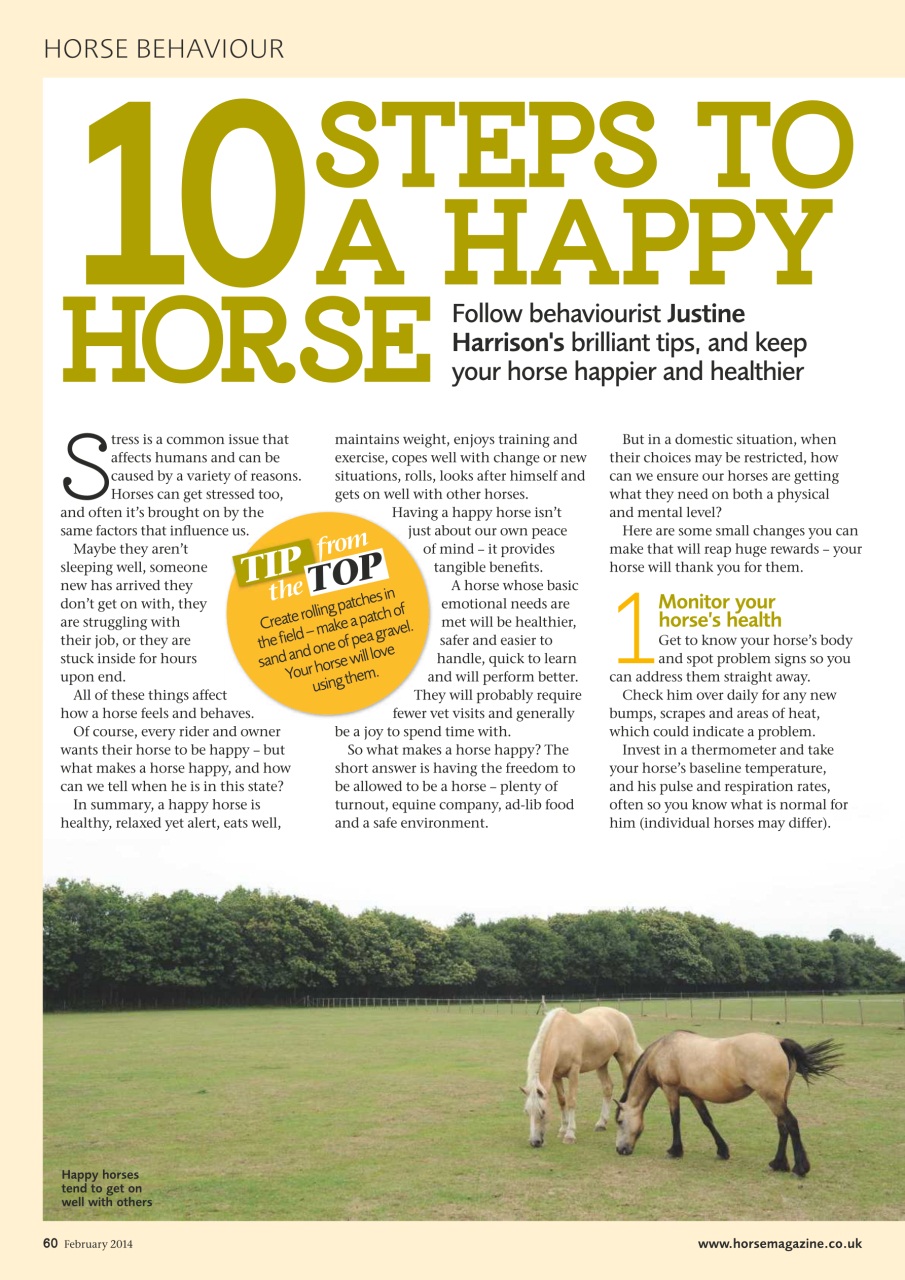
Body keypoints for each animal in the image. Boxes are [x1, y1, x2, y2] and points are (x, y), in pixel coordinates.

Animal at [521, 1006, 643, 1147]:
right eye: (527, 1112)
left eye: (543, 1112)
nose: (534, 1142)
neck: (561, 1037)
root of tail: (621, 1015)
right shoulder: (556, 1076)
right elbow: (562, 1101)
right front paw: (563, 1129)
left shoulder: (573, 1072)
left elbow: (571, 1101)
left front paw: (569, 1135)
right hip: (601, 1063)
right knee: (607, 1088)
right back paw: (601, 1123)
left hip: (624, 1059)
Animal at [614, 1031, 842, 1176]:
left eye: (620, 1121)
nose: (620, 1150)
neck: (663, 1050)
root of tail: (778, 1041)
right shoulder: (694, 1095)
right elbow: (707, 1120)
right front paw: (722, 1150)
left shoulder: (671, 1091)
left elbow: (675, 1120)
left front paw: (675, 1150)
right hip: (779, 1097)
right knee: (782, 1126)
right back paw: (778, 1164)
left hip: (771, 1097)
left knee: (791, 1123)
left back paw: (799, 1169)